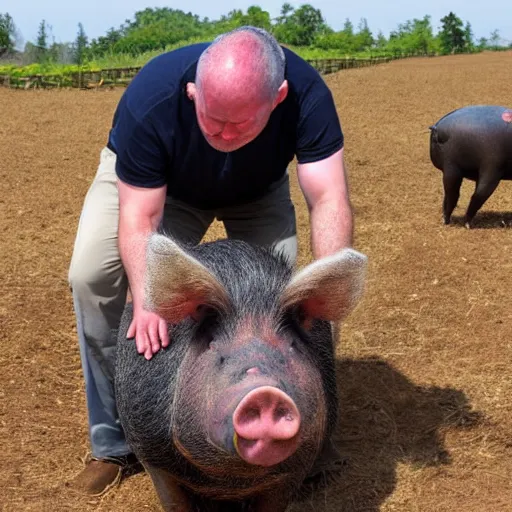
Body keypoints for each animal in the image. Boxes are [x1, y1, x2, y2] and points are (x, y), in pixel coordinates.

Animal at [115, 233, 368, 512]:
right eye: (215, 350)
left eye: (291, 347)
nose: (265, 393)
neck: (231, 479)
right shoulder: (150, 451)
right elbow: (174, 503)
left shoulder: (296, 466)